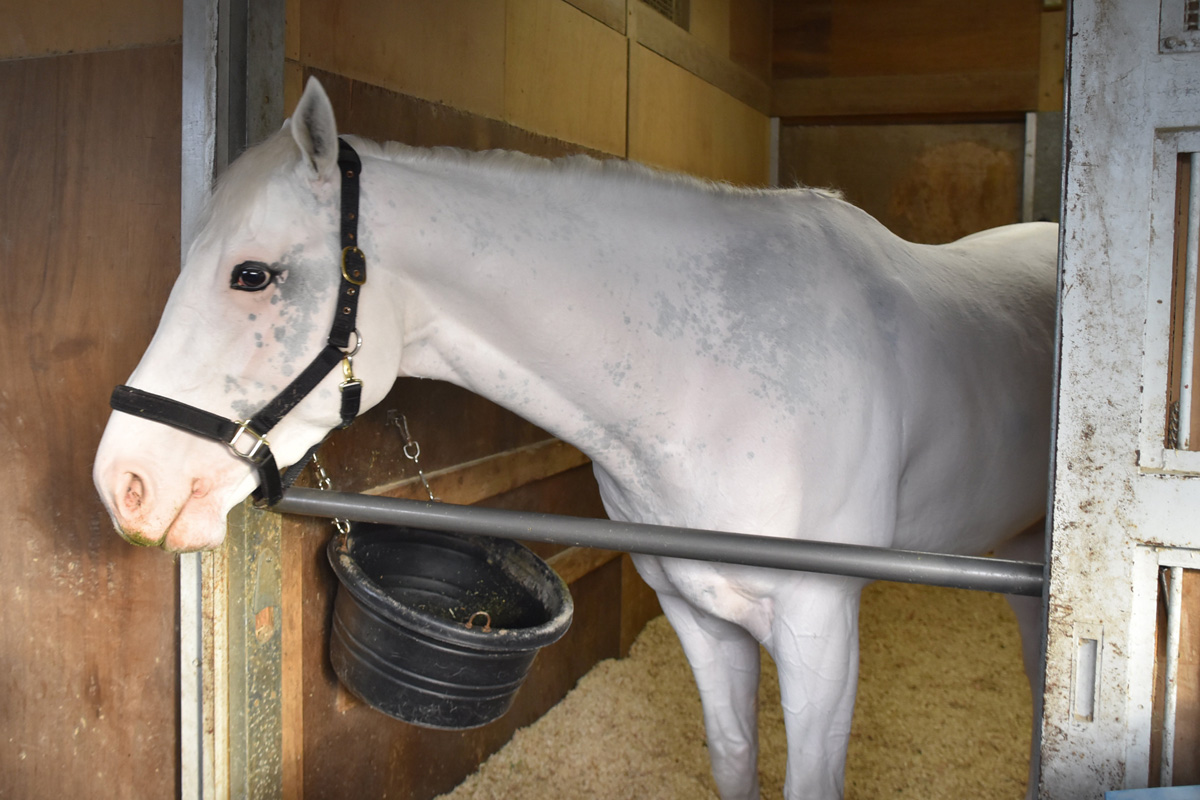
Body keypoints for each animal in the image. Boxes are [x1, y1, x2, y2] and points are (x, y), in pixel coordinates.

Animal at [93, 77, 1056, 799]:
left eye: (252, 274)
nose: (125, 483)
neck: (721, 385)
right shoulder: (699, 614)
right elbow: (734, 761)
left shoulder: (822, 629)